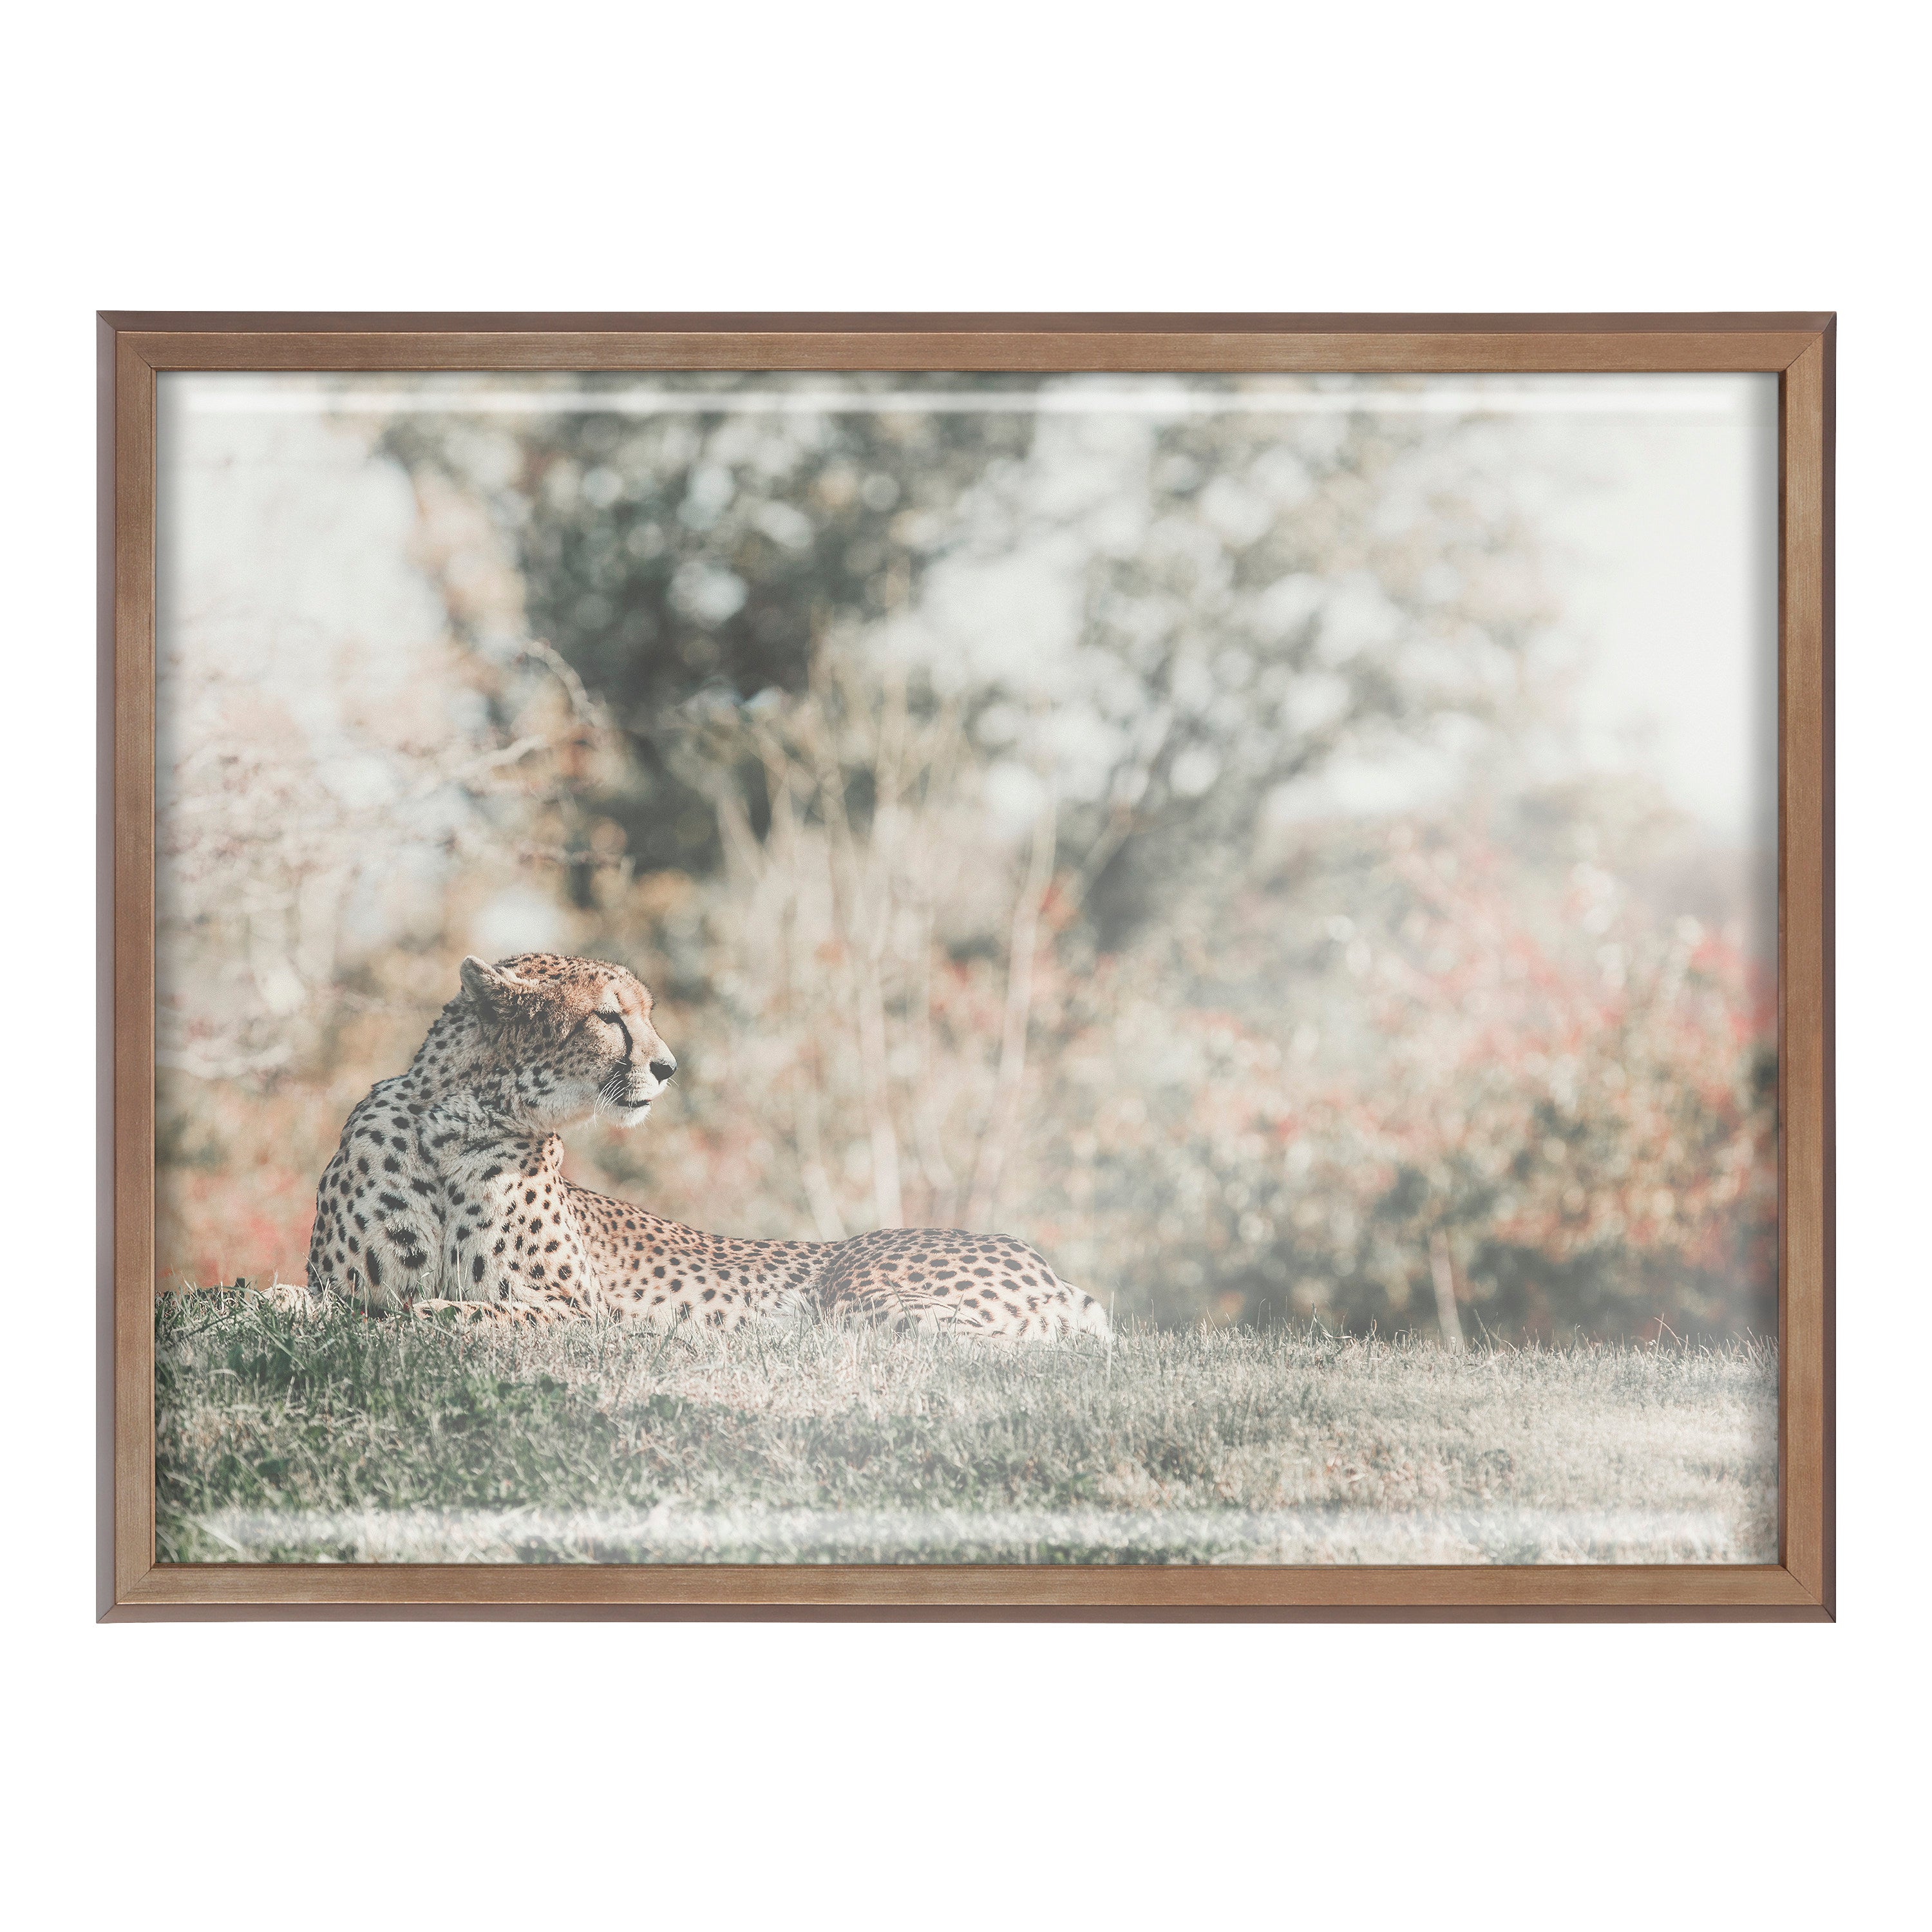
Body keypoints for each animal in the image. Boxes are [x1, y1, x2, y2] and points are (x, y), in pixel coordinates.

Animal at [305, 951, 1111, 1343]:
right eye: (609, 1017)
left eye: (646, 1014)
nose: (668, 1067)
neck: (457, 1123)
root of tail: (1047, 1266)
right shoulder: (338, 1284)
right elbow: (338, 1303)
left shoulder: (577, 1312)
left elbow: (436, 1312)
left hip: (864, 1292)